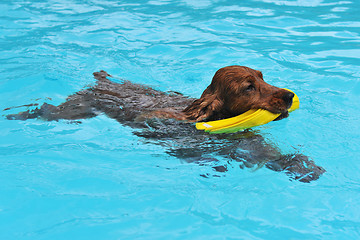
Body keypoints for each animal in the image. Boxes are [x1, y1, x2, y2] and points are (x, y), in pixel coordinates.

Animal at [5, 65, 326, 182]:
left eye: (262, 76)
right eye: (249, 87)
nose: (290, 96)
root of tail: (104, 81)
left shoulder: (250, 143)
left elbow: (275, 155)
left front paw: (304, 167)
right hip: (75, 110)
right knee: (46, 110)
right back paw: (16, 115)